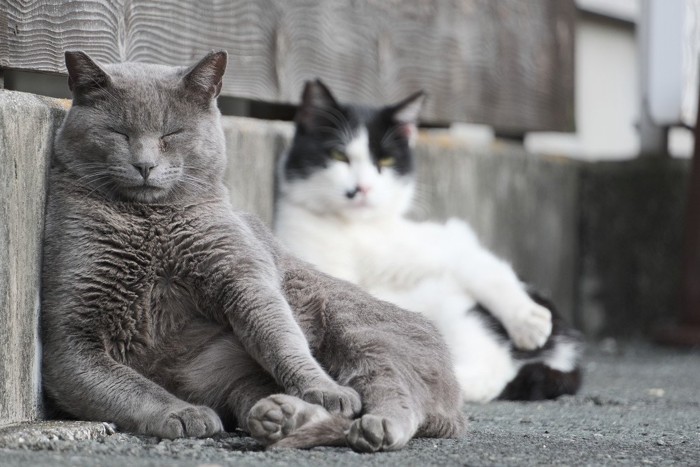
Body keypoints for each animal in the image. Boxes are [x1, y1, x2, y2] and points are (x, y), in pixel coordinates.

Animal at [39, 51, 464, 454]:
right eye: (118, 132)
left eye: (172, 133)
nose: (145, 165)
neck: (149, 224)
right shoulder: (70, 339)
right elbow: (131, 385)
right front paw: (182, 413)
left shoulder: (244, 275)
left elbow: (281, 338)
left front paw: (326, 389)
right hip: (239, 381)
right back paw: (280, 416)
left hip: (358, 329)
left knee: (395, 389)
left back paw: (375, 426)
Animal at [276, 80, 584, 402]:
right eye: (338, 155)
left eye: (385, 160)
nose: (363, 188)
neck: (356, 230)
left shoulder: (450, 239)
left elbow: (483, 267)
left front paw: (527, 320)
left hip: (457, 308)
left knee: (493, 367)